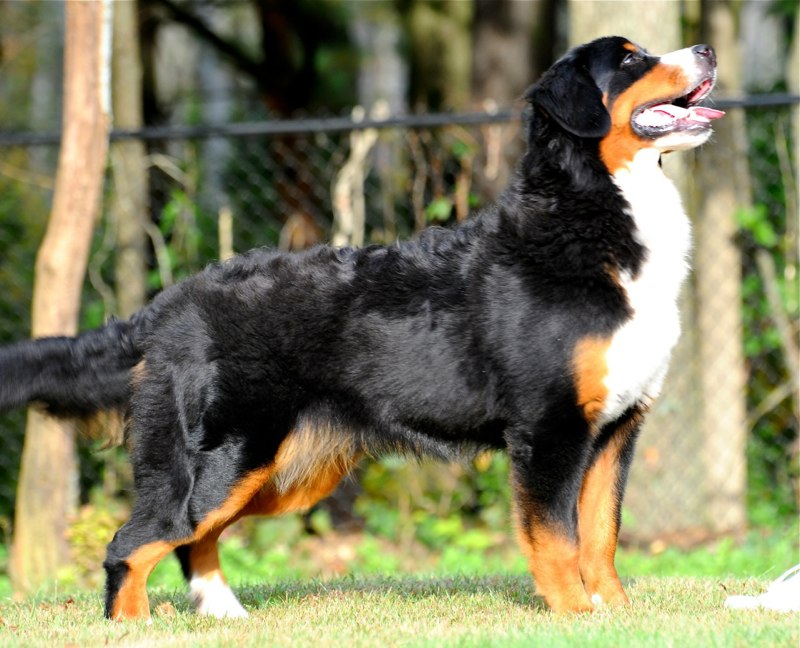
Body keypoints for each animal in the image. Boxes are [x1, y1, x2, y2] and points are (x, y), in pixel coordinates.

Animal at [0, 36, 724, 616]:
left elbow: (600, 535)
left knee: (189, 539)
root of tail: (170, 302)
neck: (597, 214)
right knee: (137, 541)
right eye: (630, 60)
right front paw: (575, 615)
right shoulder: (549, 430)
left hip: (281, 472)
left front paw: (616, 613)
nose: (707, 49)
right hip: (227, 458)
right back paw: (135, 627)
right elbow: (558, 539)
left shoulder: (614, 430)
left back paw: (222, 614)